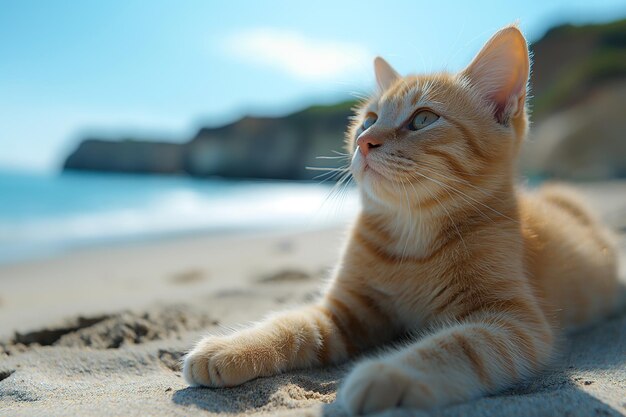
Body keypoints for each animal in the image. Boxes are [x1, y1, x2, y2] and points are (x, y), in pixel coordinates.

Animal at [182, 25, 620, 412]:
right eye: (367, 120)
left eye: (423, 119)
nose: (364, 141)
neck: (411, 239)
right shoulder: (344, 312)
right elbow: (291, 325)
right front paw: (232, 347)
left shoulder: (513, 322)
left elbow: (454, 346)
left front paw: (388, 374)